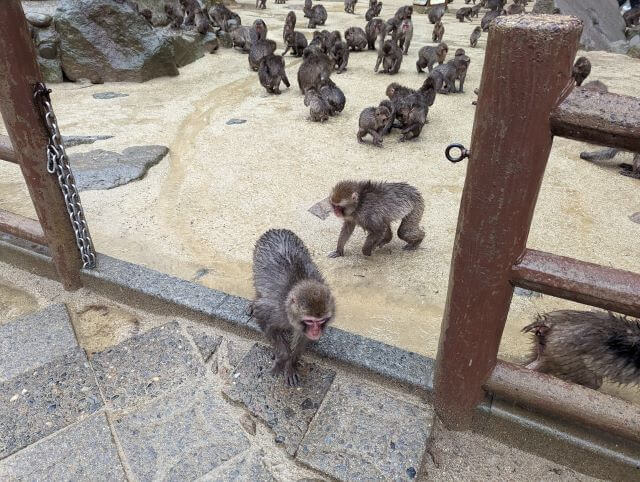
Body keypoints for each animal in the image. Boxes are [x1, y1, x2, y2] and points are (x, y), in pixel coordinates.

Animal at [252, 228, 338, 386]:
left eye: (321, 321)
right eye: (310, 321)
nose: (316, 332)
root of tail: (276, 229)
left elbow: (301, 339)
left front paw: (290, 364)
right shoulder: (273, 310)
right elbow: (263, 320)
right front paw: (282, 357)